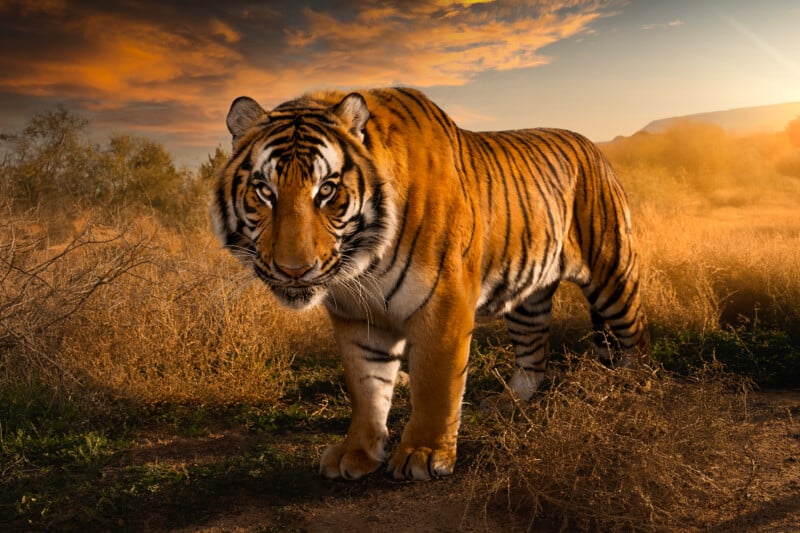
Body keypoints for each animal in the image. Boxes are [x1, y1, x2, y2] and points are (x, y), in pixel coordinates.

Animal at [210, 87, 650, 481]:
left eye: (327, 190)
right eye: (264, 191)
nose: (294, 270)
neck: (361, 269)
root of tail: (590, 143)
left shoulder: (443, 303)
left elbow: (435, 382)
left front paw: (422, 454)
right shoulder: (357, 318)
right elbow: (366, 387)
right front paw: (357, 453)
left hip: (612, 271)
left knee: (634, 332)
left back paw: (638, 385)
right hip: (528, 297)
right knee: (532, 352)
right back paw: (509, 402)